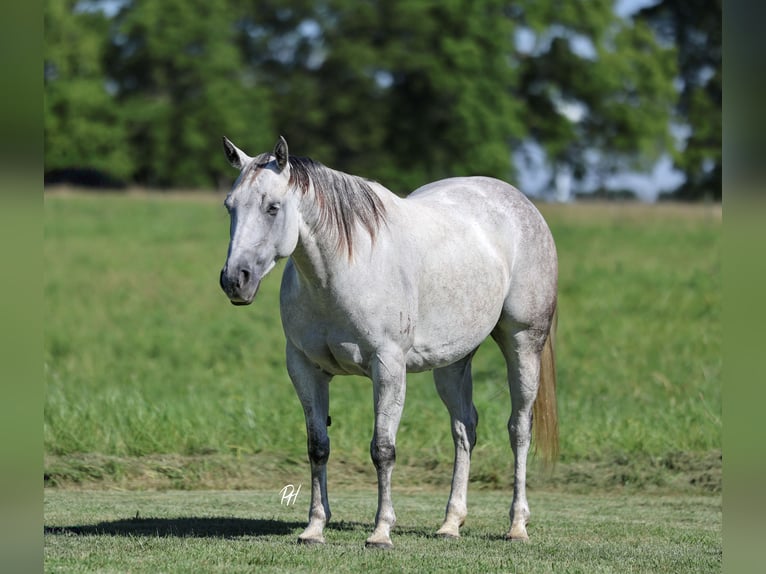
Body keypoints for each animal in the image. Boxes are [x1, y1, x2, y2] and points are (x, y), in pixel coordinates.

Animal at [219, 136, 559, 549]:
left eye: (272, 207)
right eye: (230, 206)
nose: (235, 280)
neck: (342, 271)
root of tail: (521, 204)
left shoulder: (388, 366)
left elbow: (383, 449)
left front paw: (381, 532)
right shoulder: (304, 368)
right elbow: (318, 447)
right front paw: (314, 528)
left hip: (524, 343)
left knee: (518, 428)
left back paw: (517, 525)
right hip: (453, 361)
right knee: (464, 429)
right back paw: (450, 524)